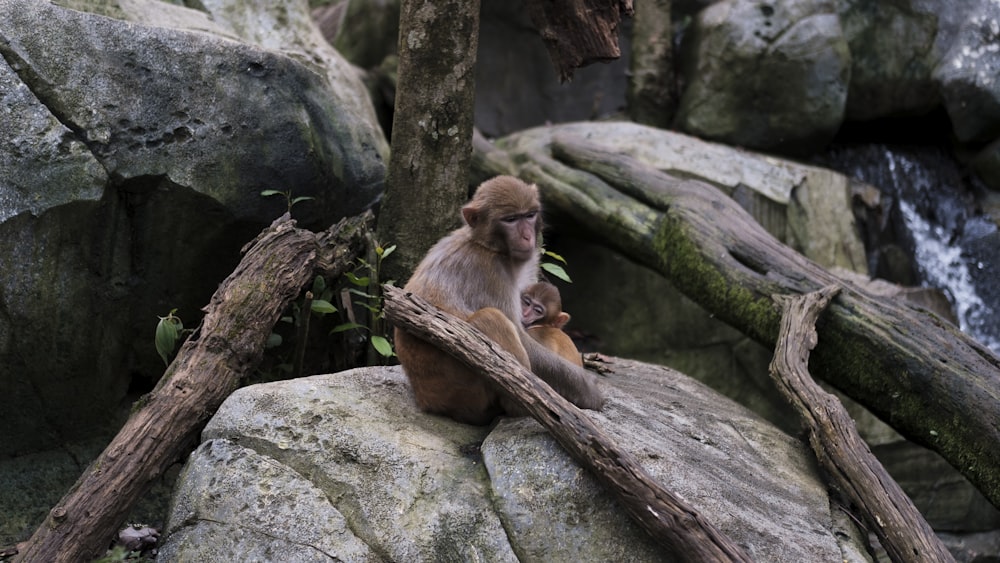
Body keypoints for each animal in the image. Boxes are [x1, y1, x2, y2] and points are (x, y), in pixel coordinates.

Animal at [396, 175, 600, 424]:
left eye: (529, 215)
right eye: (510, 220)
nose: (527, 236)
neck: (489, 246)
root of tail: (425, 399)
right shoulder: (490, 272)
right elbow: (522, 336)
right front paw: (589, 390)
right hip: (458, 388)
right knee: (490, 317)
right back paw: (519, 407)